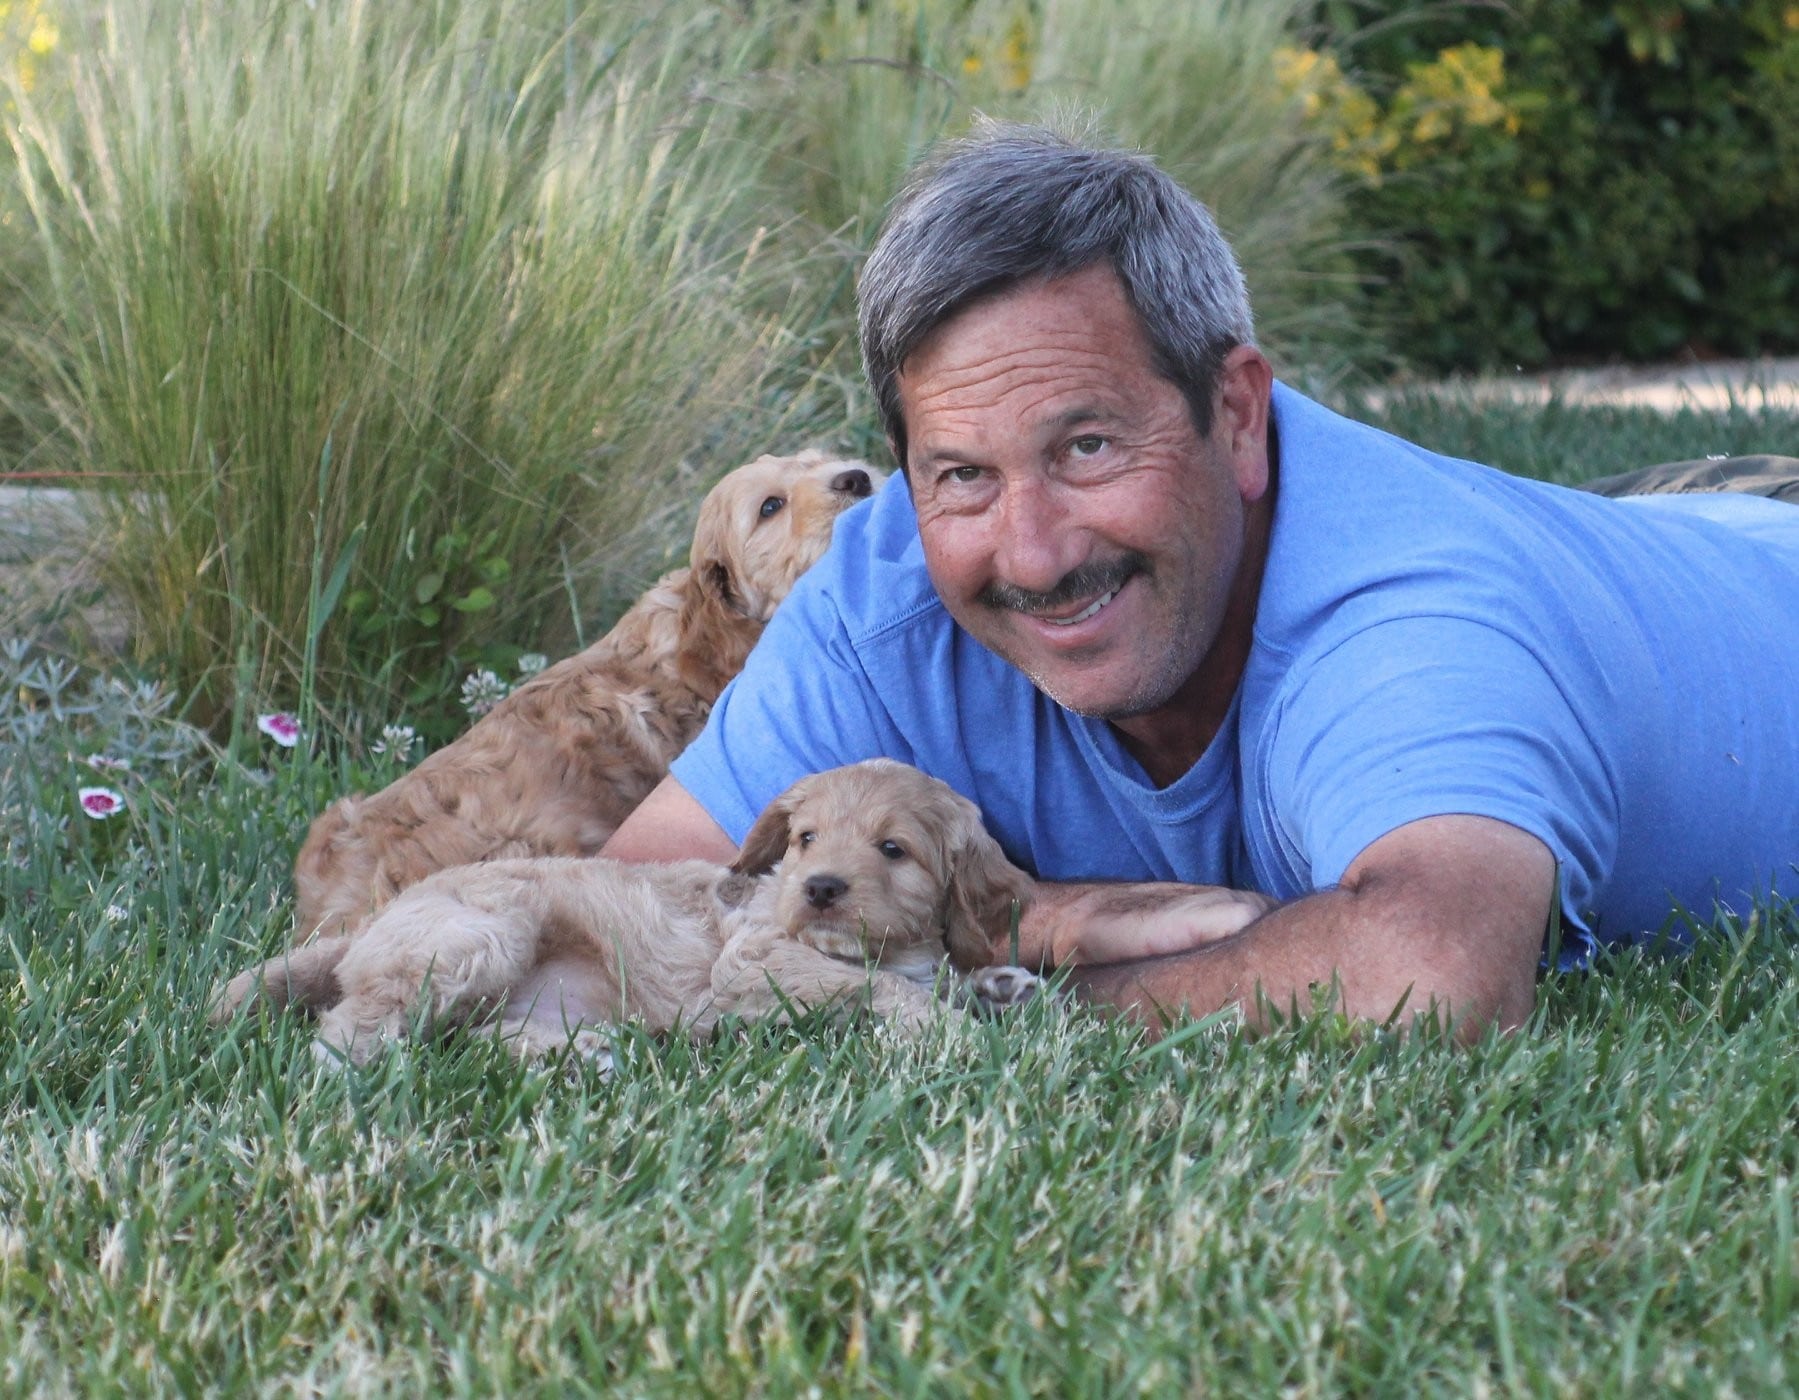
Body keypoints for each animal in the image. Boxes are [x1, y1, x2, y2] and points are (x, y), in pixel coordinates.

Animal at [215, 759, 1043, 1065]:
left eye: (893, 849)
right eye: (806, 839)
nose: (820, 889)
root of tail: (377, 920)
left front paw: (996, 986)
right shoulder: (752, 960)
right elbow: (881, 986)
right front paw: (949, 1030)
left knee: (478, 1036)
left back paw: (585, 1055)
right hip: (481, 932)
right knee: (354, 1025)